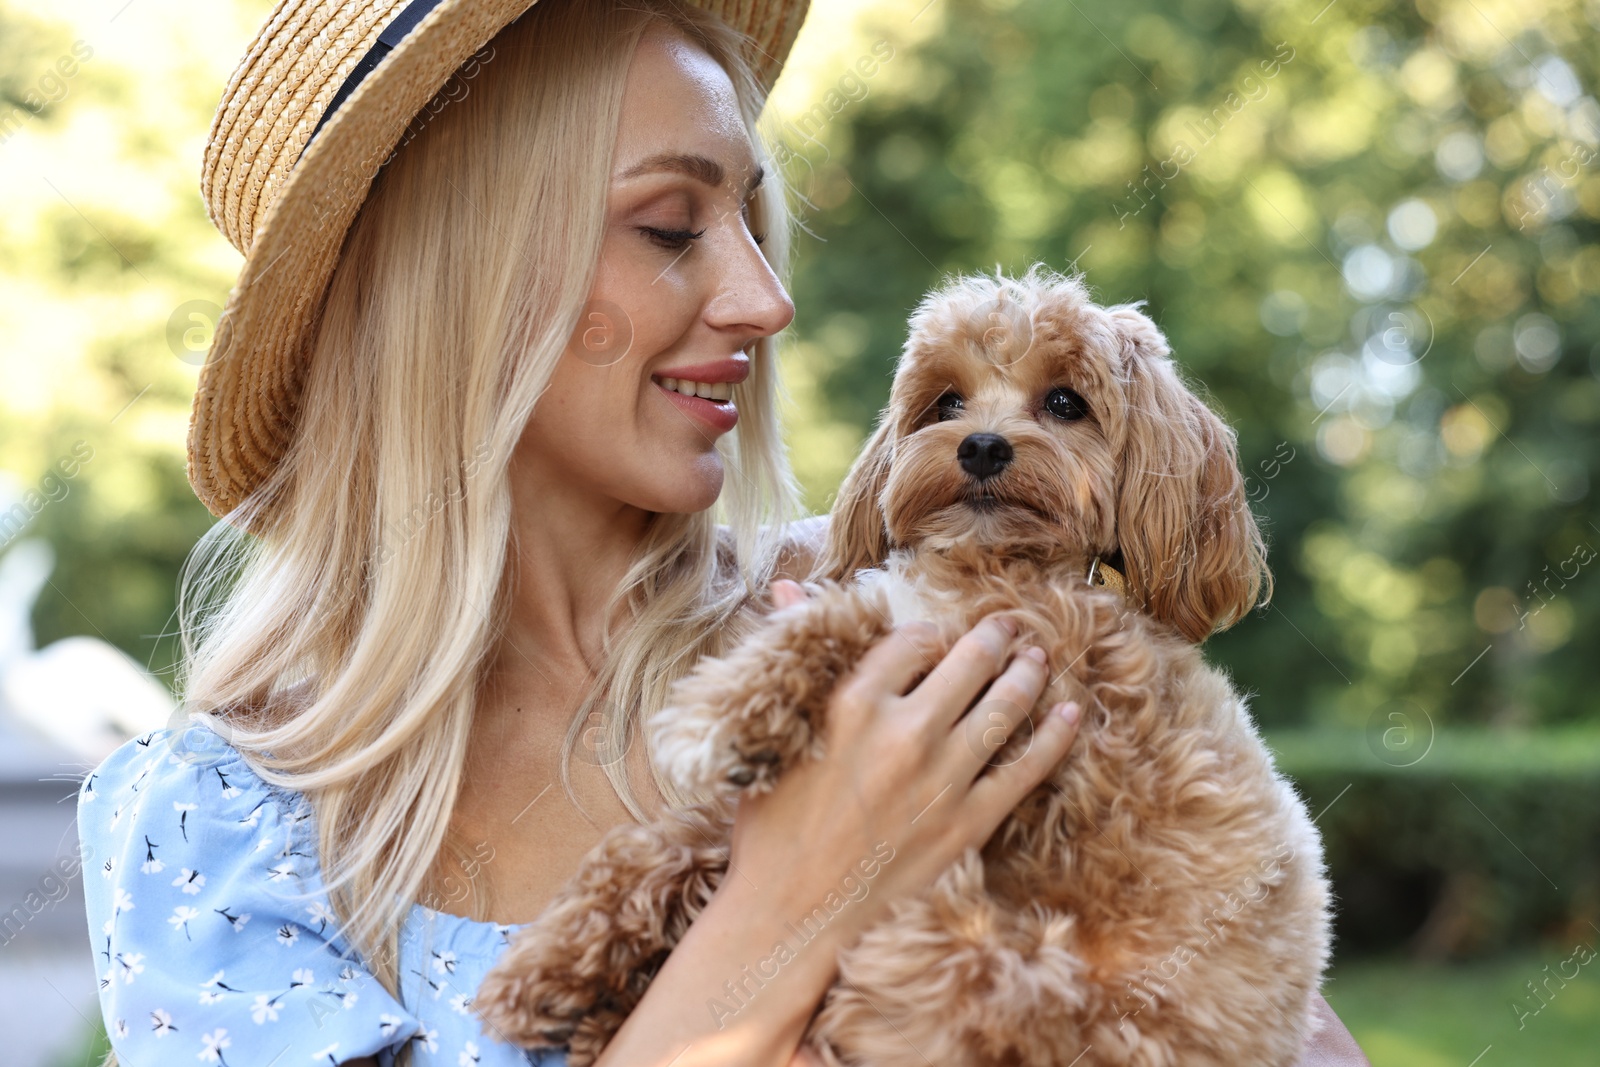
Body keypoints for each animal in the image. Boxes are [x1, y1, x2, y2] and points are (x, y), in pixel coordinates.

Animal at [476, 267, 1337, 1067]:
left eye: (1065, 402)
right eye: (946, 402)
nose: (981, 445)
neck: (994, 563)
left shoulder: (1039, 681)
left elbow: (841, 617)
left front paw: (713, 716)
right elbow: (667, 840)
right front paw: (547, 963)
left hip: (964, 972)